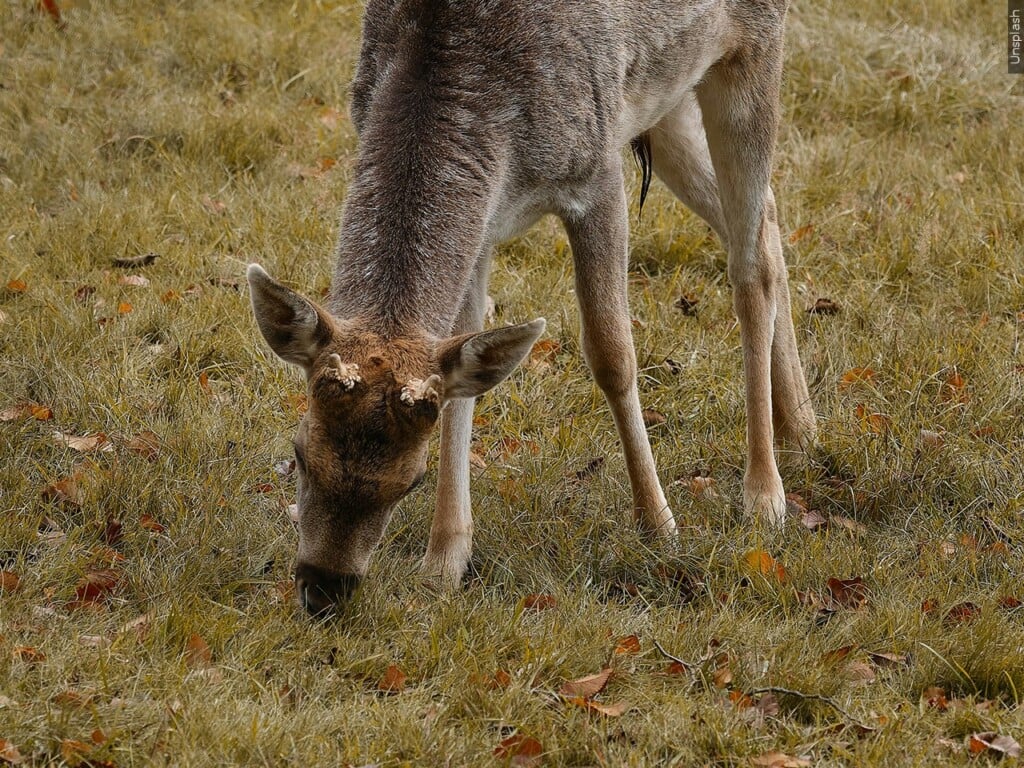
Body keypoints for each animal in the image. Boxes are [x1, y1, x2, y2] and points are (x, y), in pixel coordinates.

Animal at [247, 0, 817, 615]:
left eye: (412, 480)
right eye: (300, 452)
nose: (324, 588)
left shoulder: (596, 170)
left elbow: (612, 355)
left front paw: (659, 526)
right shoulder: (485, 221)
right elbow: (464, 375)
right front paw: (443, 563)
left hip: (753, 49)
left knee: (749, 265)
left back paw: (764, 496)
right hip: (667, 96)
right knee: (765, 220)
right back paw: (802, 426)